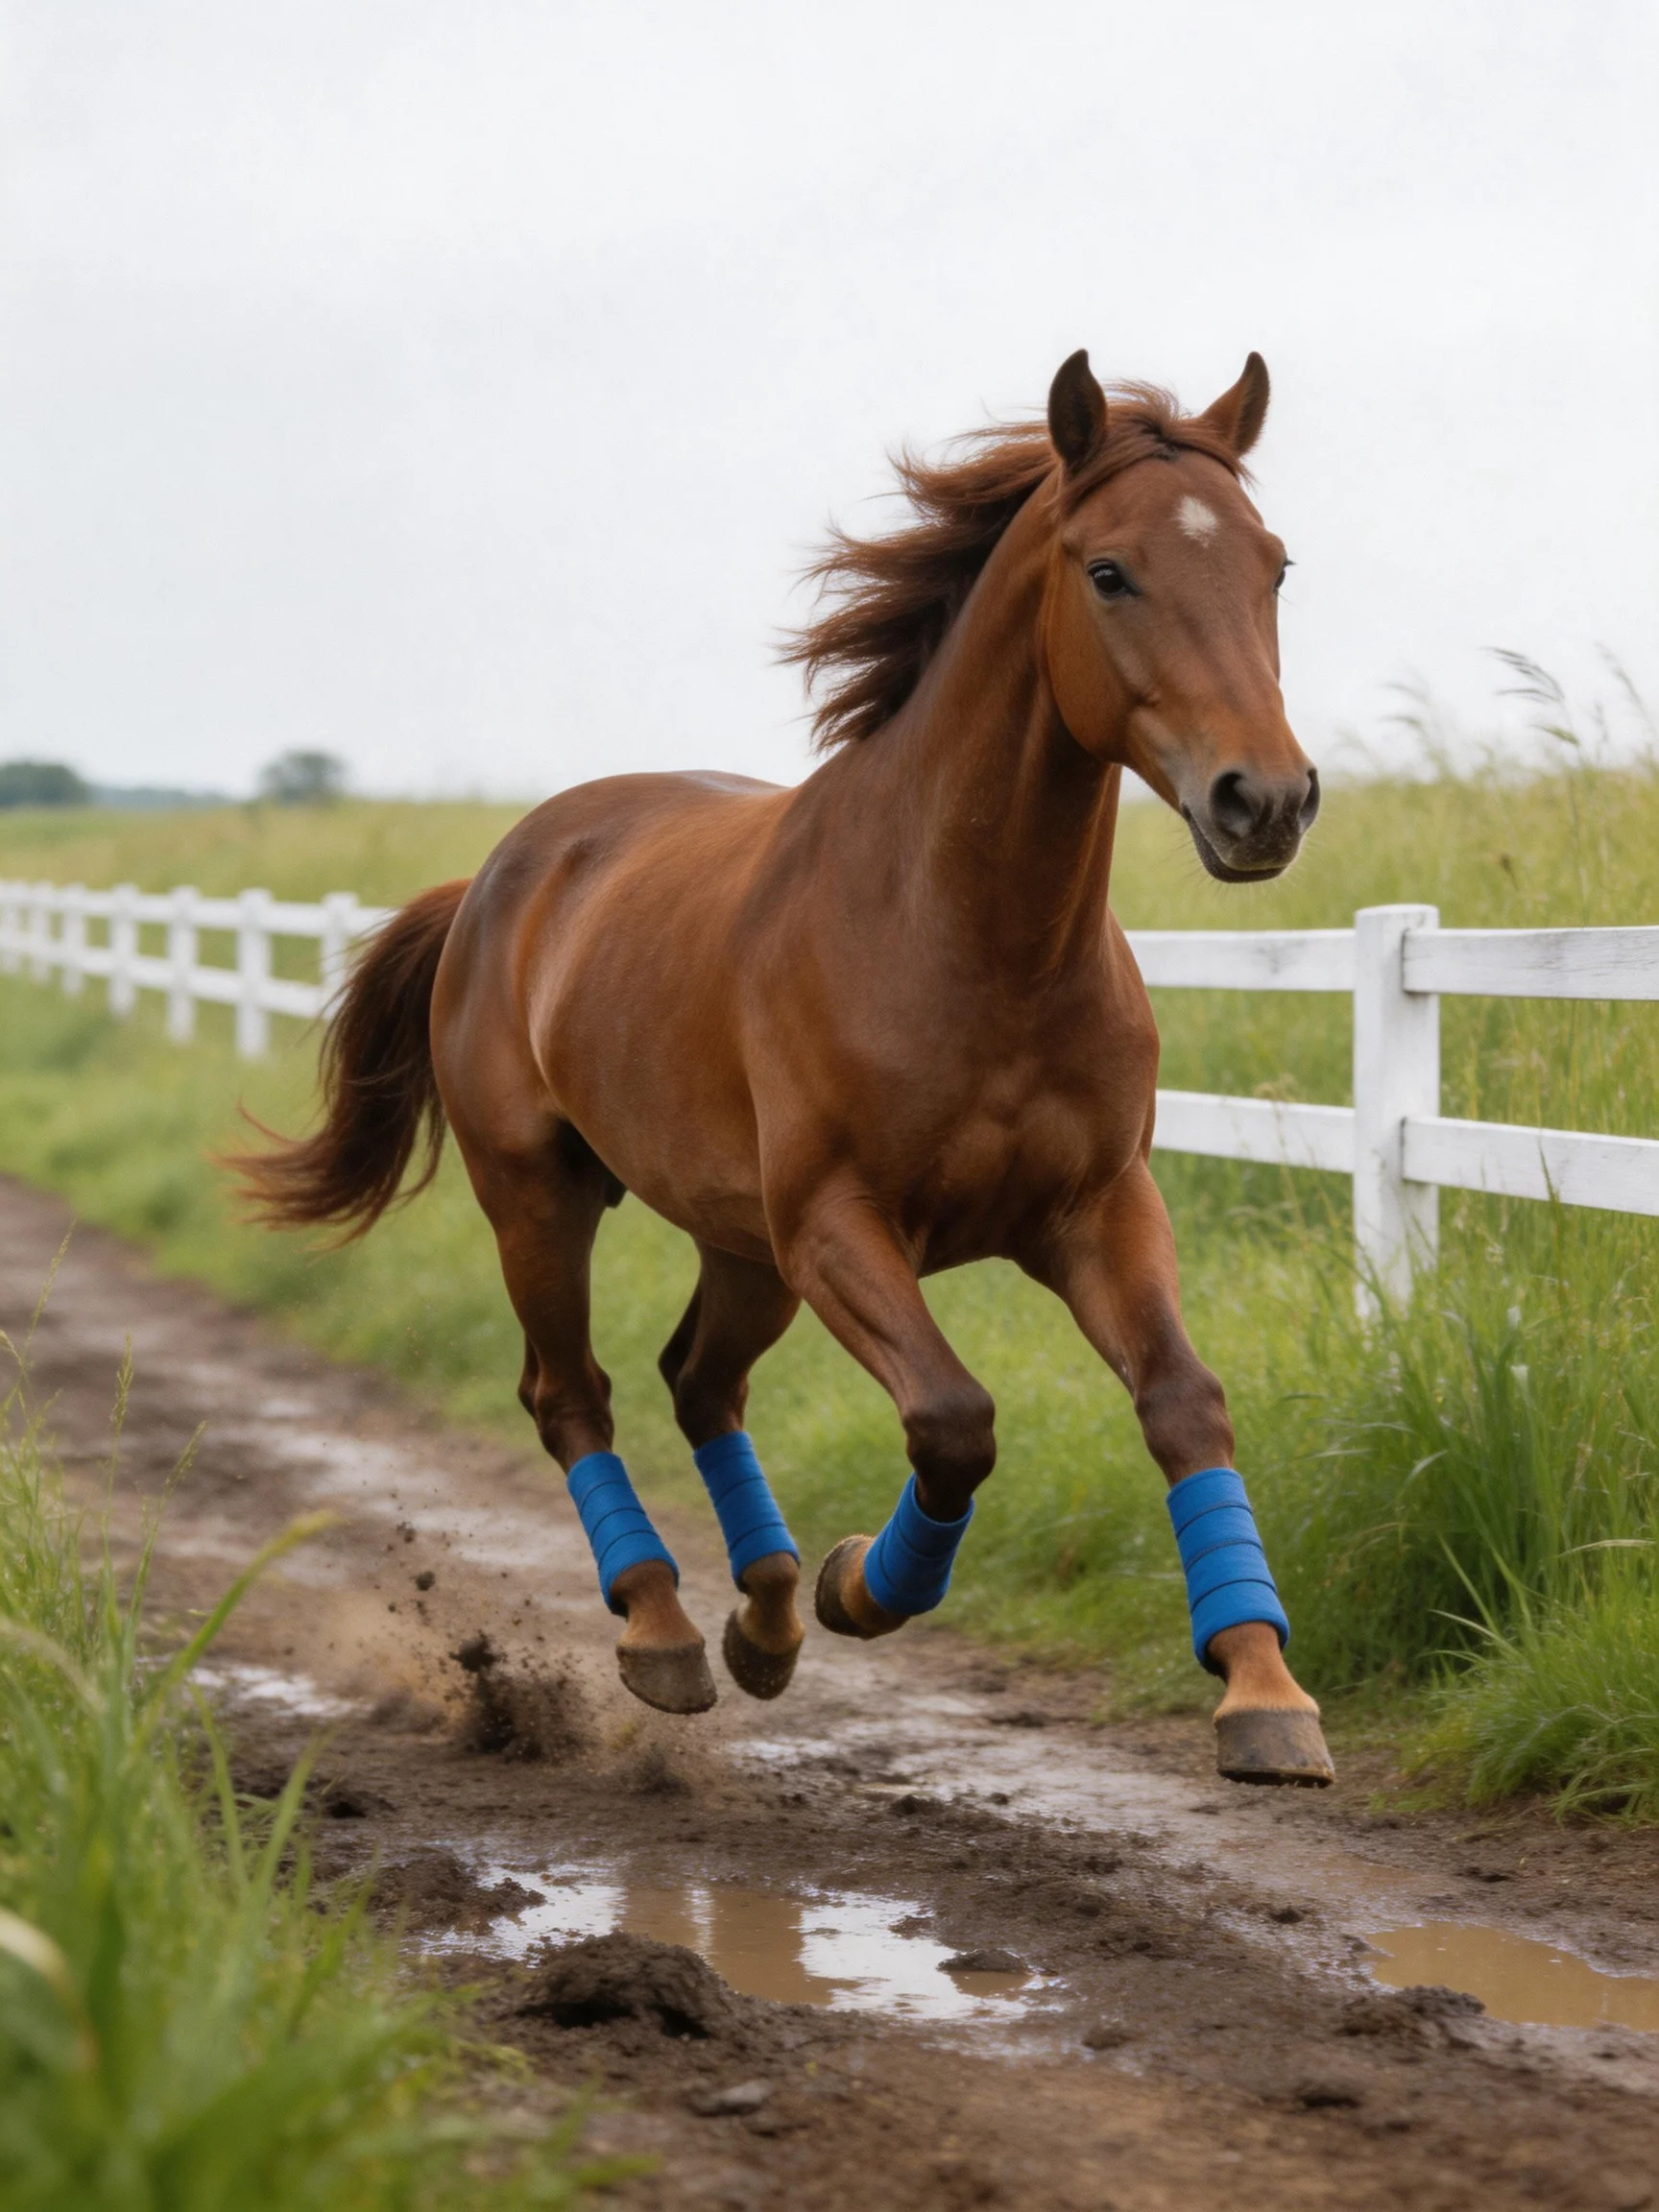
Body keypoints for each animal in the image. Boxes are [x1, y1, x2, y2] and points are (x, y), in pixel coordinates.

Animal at [239, 348, 1334, 1787]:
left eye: (1274, 566)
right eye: (1109, 571)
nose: (1265, 802)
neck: (971, 942)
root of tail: (493, 878)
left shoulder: (1098, 1207)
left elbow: (1183, 1404)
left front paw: (1265, 1694)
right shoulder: (836, 1227)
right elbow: (954, 1417)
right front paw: (863, 1583)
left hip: (736, 1242)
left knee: (698, 1380)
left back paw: (759, 1618)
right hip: (543, 1198)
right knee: (572, 1392)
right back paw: (662, 1631)